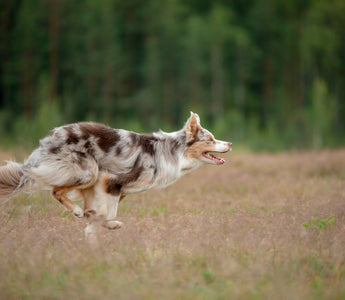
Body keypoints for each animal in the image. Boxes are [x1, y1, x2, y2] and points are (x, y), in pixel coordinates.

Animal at [0, 111, 231, 240]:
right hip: (88, 171)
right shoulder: (111, 181)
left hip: (88, 177)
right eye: (210, 139)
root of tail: (47, 140)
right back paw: (75, 210)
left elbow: (97, 216)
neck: (171, 152)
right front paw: (107, 226)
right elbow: (106, 215)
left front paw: (93, 237)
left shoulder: (115, 190)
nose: (229, 143)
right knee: (56, 191)